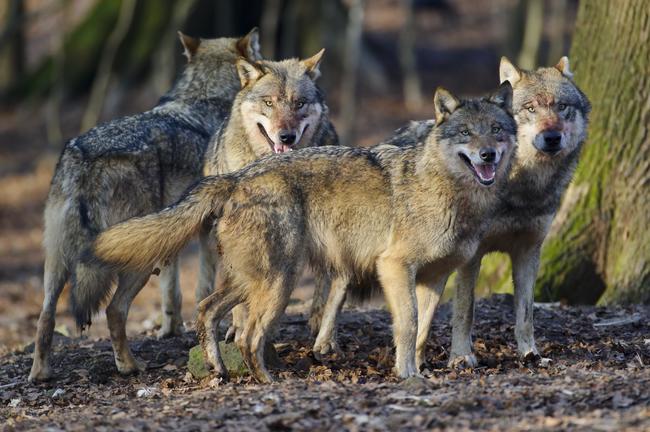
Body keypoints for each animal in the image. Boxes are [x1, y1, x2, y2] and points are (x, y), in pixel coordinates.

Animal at [27, 28, 260, 384]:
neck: (203, 97)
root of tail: (85, 160)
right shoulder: (206, 234)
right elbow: (204, 288)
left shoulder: (171, 238)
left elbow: (171, 292)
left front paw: (171, 330)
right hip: (133, 259)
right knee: (114, 309)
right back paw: (129, 366)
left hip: (58, 261)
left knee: (45, 316)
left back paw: (41, 373)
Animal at [92, 83, 516, 382]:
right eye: (466, 133)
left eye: (496, 130)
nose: (488, 155)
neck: (448, 191)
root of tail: (235, 178)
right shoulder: (394, 268)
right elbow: (408, 324)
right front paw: (408, 374)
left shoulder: (435, 277)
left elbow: (423, 329)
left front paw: (419, 366)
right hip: (281, 281)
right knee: (248, 337)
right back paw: (270, 383)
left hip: (255, 280)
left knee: (207, 310)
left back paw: (220, 370)